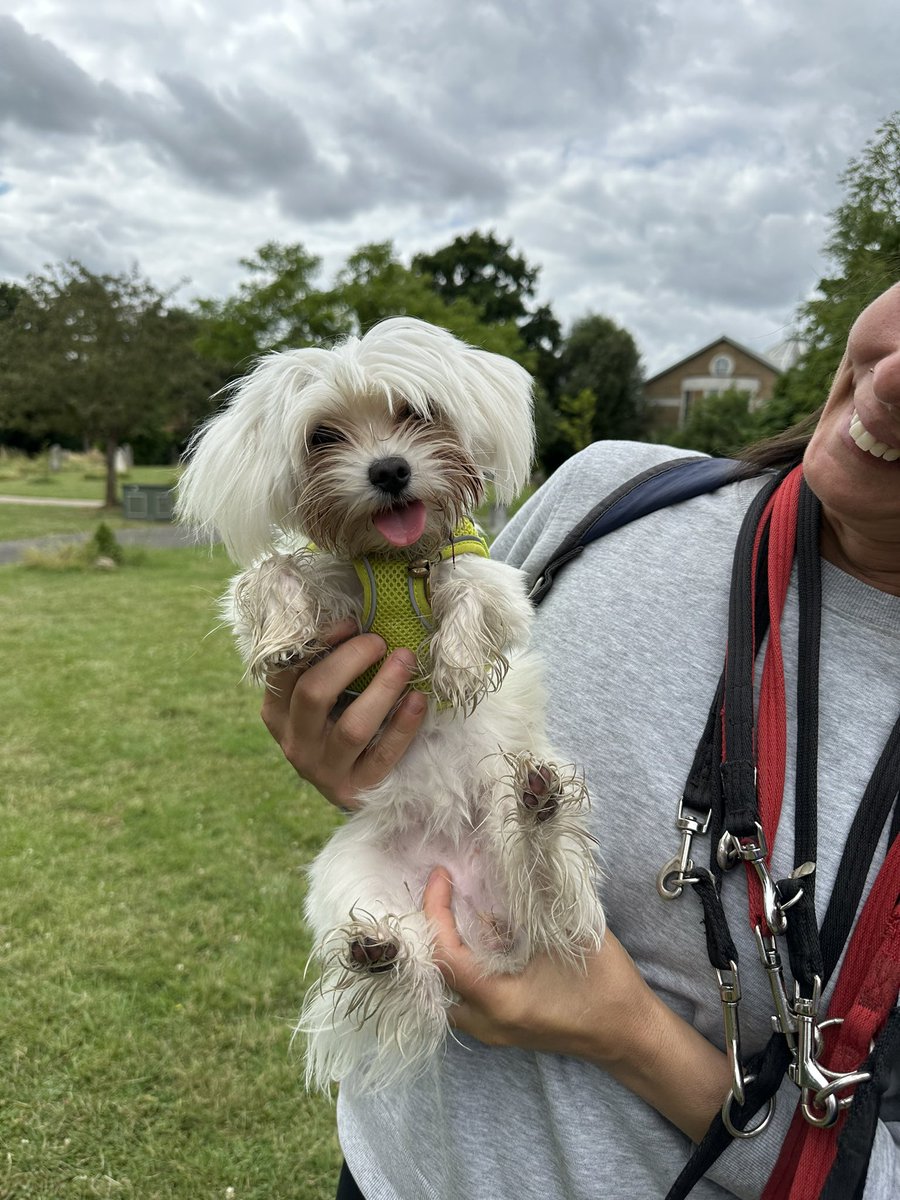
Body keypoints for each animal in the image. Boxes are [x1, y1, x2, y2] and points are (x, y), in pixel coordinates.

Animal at [177, 321, 607, 1099]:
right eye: (322, 436)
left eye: (414, 412)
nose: (388, 471)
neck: (385, 555)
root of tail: (481, 919)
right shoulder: (322, 584)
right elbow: (269, 574)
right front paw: (283, 637)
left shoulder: (490, 580)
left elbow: (469, 588)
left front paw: (459, 662)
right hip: (349, 874)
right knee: (401, 948)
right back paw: (377, 951)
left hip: (526, 842)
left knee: (551, 880)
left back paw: (540, 809)